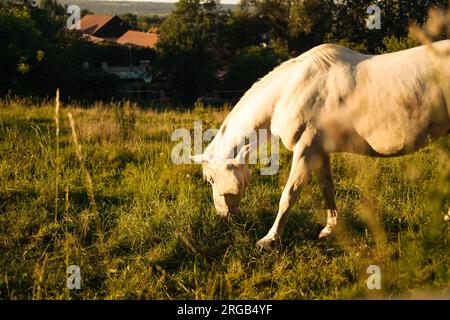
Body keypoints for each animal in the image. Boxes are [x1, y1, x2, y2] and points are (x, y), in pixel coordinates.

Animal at [191, 39, 450, 250]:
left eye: (211, 179)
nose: (222, 215)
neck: (291, 90)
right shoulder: (319, 152)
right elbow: (327, 190)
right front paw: (329, 229)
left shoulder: (305, 151)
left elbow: (288, 196)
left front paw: (269, 240)